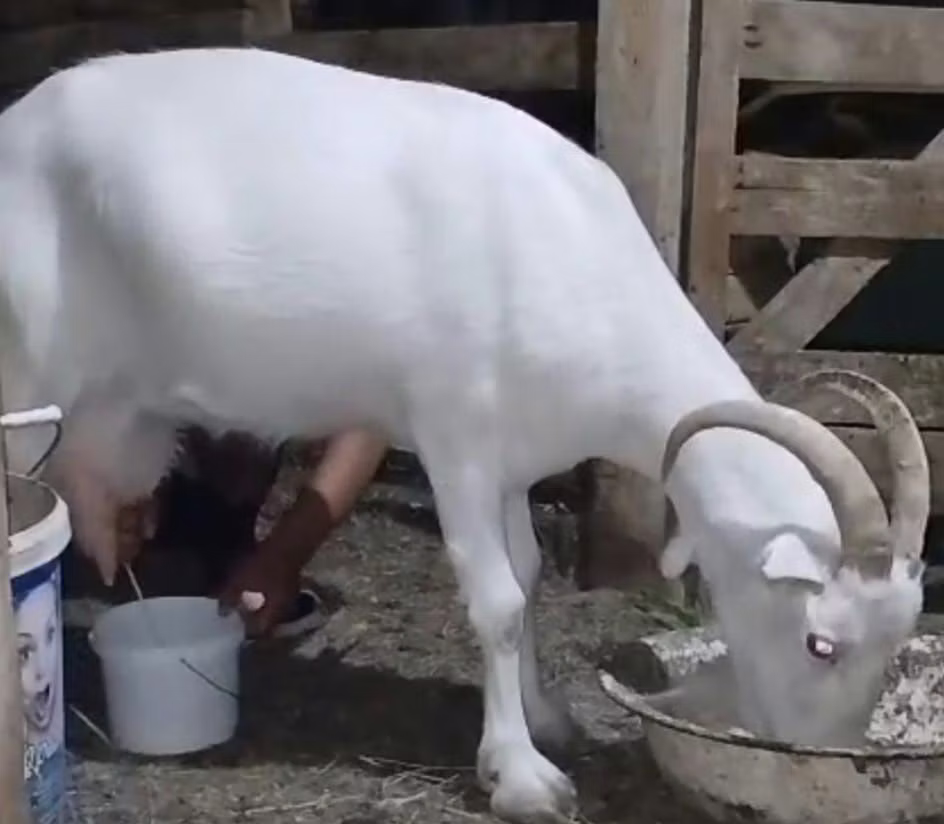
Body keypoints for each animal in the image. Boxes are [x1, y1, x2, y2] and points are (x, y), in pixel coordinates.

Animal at [0, 48, 928, 822]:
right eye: (820, 642)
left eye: (896, 643)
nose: (821, 763)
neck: (563, 252)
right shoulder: (455, 443)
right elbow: (499, 602)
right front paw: (520, 776)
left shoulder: (515, 458)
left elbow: (530, 574)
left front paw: (546, 718)